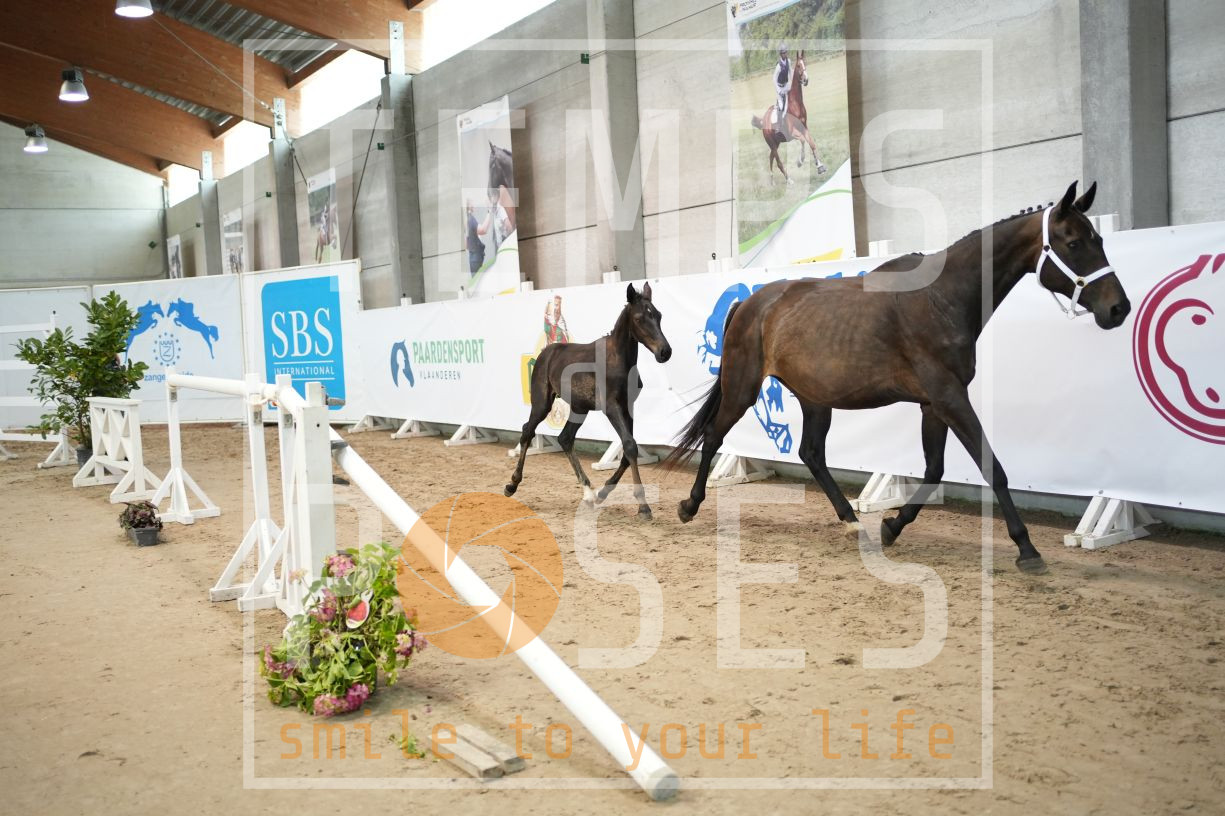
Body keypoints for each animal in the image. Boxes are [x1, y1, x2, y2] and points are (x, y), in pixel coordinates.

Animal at [506, 283, 673, 518]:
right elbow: (629, 445)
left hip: (579, 408)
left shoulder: (628, 407)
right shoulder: (611, 407)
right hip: (542, 403)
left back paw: (589, 494)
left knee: (565, 438)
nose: (665, 352)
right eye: (640, 318)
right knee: (527, 431)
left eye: (658, 315)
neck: (618, 359)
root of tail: (547, 352)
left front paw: (602, 493)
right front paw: (643, 506)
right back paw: (512, 484)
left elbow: (628, 449)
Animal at [663, 182, 1131, 574]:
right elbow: (992, 467)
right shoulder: (949, 397)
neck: (942, 298)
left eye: (1099, 240)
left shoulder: (934, 404)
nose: (1118, 308)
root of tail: (748, 304)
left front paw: (891, 527)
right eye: (1074, 243)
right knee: (715, 436)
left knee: (812, 453)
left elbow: (934, 470)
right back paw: (689, 505)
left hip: (815, 399)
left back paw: (853, 522)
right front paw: (1027, 549)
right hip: (742, 388)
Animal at [750, 50, 827, 184]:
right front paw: (800, 161)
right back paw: (789, 180)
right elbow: (803, 140)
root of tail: (763, 121)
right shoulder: (793, 132)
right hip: (773, 144)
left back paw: (772, 181)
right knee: (778, 161)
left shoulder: (804, 128)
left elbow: (812, 143)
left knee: (771, 157)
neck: (796, 104)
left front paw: (820, 167)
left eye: (805, 63)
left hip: (776, 143)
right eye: (798, 66)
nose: (806, 80)